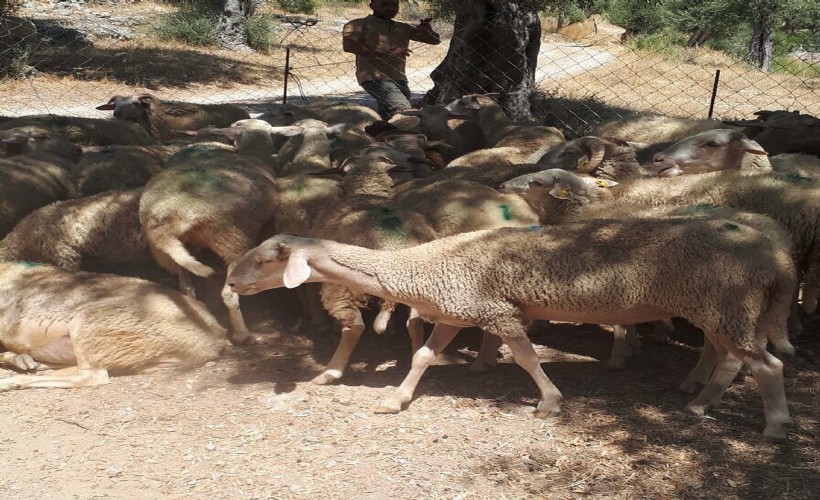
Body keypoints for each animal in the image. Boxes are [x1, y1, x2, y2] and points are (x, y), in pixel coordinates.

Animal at [227, 219, 796, 438]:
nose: (230, 279)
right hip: (720, 309)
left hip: (726, 306)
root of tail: (775, 254)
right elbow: (422, 357)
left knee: (766, 364)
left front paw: (550, 402)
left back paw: (774, 424)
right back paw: (698, 401)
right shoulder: (456, 311)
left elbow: (525, 357)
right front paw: (395, 399)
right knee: (727, 358)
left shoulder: (496, 311)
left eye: (269, 258)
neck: (423, 265)